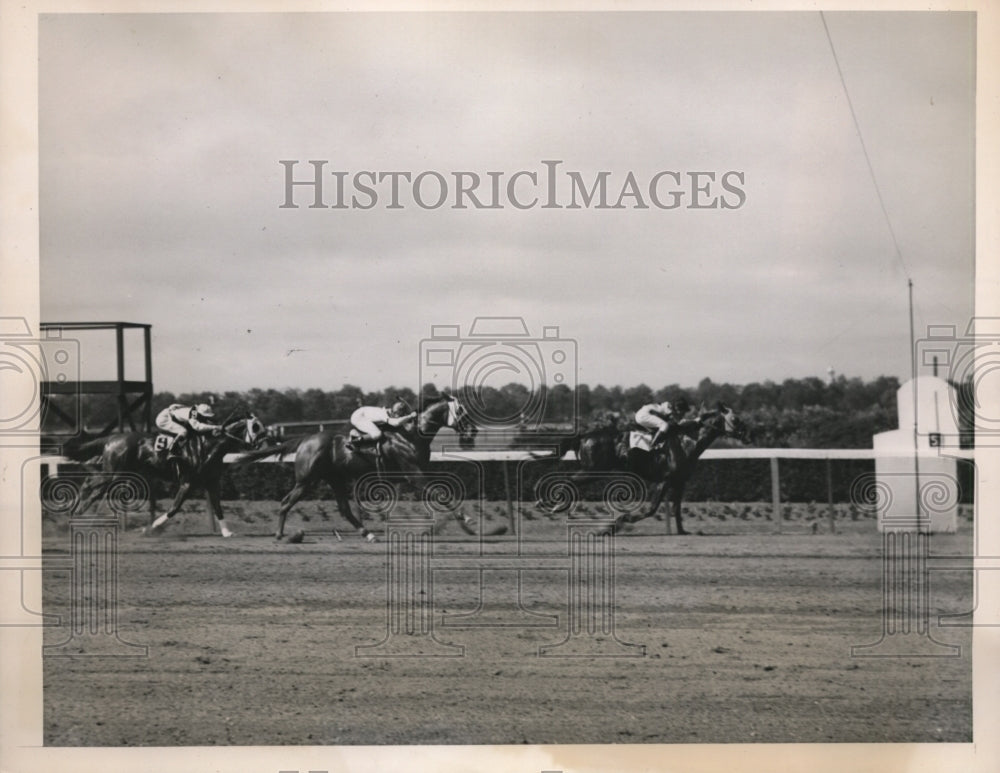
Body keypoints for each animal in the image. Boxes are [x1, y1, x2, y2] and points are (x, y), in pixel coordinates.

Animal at [66, 410, 270, 536]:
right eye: (256, 426)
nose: (266, 444)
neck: (209, 446)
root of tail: (112, 438)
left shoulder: (212, 482)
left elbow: (218, 507)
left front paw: (227, 532)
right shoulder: (188, 482)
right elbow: (174, 508)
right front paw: (148, 529)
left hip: (118, 473)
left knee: (90, 484)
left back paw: (76, 512)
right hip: (115, 473)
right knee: (94, 488)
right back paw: (78, 513)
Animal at [238, 396, 480, 540]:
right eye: (463, 413)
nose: (473, 432)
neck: (411, 434)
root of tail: (305, 440)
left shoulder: (418, 472)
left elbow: (443, 490)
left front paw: (464, 525)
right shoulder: (413, 474)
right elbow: (440, 493)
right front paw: (467, 520)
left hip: (334, 479)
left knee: (344, 508)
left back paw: (367, 533)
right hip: (307, 480)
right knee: (286, 502)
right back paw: (279, 534)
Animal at [536, 404, 748, 532]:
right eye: (736, 419)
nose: (748, 435)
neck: (687, 442)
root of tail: (584, 436)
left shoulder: (679, 482)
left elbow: (677, 509)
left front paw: (682, 531)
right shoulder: (664, 481)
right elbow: (651, 509)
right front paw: (617, 523)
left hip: (593, 471)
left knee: (569, 479)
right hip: (593, 471)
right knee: (569, 479)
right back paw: (551, 503)